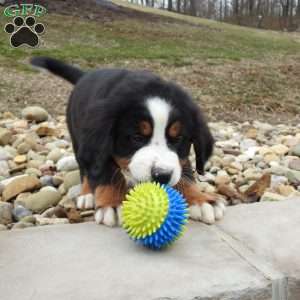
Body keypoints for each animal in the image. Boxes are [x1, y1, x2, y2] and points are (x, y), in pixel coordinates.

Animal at [31, 56, 226, 225]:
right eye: (136, 137)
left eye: (178, 139)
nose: (162, 176)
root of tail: (85, 75)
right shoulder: (102, 147)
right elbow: (106, 173)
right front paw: (112, 203)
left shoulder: (180, 157)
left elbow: (185, 172)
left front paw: (201, 200)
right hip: (79, 138)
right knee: (85, 167)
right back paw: (87, 194)